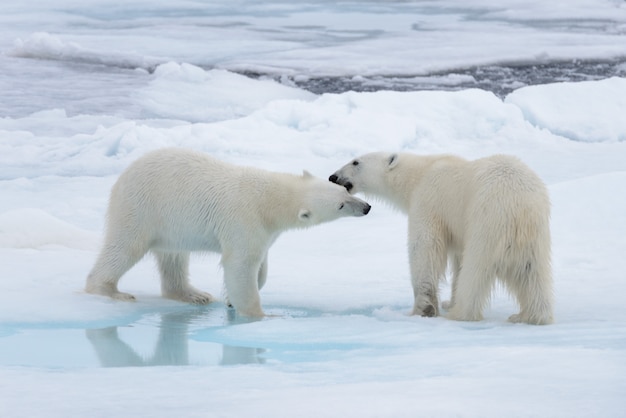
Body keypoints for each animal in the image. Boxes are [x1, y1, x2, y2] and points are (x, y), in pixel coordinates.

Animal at [88, 149, 370, 316]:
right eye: (341, 205)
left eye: (344, 190)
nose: (366, 207)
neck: (268, 197)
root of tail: (123, 177)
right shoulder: (244, 218)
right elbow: (240, 265)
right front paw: (258, 314)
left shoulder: (265, 230)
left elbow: (261, 264)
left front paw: (230, 299)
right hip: (142, 208)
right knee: (125, 247)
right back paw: (109, 291)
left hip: (170, 224)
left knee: (174, 257)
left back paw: (193, 294)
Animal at [326, 152, 552, 324]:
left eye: (356, 162)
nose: (332, 177)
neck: (420, 173)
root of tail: (520, 206)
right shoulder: (456, 225)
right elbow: (457, 259)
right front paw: (447, 302)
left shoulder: (429, 202)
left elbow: (424, 247)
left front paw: (424, 308)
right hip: (536, 236)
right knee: (533, 274)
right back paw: (530, 315)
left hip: (486, 222)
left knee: (475, 270)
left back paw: (459, 313)